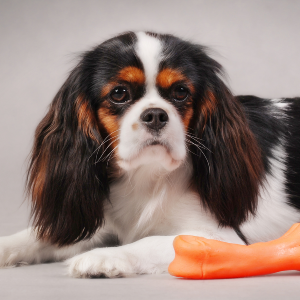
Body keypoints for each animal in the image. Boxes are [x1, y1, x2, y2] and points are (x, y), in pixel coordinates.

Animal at [0, 31, 300, 278]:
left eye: (180, 92)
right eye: (119, 93)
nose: (156, 114)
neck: (146, 176)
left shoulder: (223, 239)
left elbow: (151, 241)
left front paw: (103, 256)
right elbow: (37, 236)